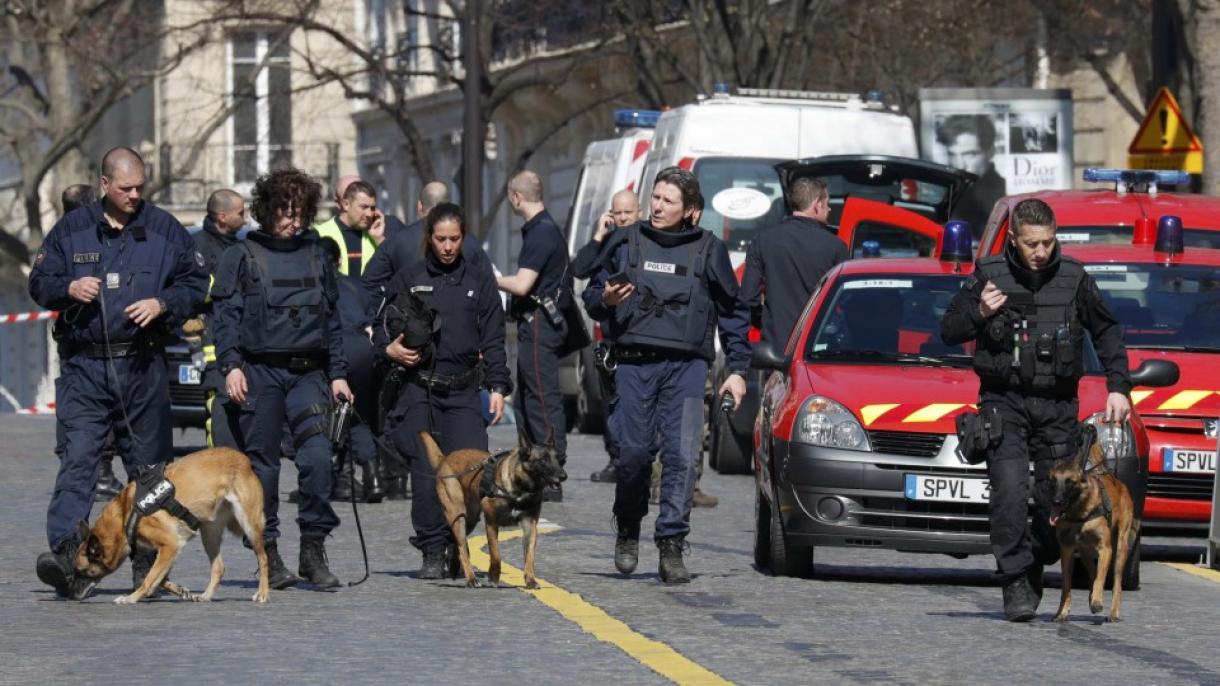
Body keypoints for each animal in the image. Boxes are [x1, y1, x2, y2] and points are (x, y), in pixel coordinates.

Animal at [73, 446, 272, 600]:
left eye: (83, 572)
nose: (71, 595)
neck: (124, 515)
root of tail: (243, 458)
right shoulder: (166, 550)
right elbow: (159, 578)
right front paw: (178, 590)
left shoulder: (170, 545)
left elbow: (149, 578)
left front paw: (132, 597)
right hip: (209, 534)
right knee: (218, 568)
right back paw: (206, 596)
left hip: (249, 526)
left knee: (263, 558)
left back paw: (263, 593)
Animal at [419, 429, 566, 585]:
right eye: (543, 459)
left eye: (559, 459)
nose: (564, 476)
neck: (520, 488)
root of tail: (445, 459)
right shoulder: (491, 523)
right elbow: (496, 554)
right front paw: (494, 576)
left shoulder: (530, 526)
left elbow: (530, 556)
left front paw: (530, 579)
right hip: (458, 516)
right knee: (462, 547)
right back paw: (471, 578)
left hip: (470, 519)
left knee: (456, 543)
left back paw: (454, 565)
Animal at [1044, 424, 1137, 622]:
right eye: (1053, 481)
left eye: (1069, 482)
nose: (1056, 502)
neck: (1080, 514)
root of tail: (1113, 478)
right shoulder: (1067, 551)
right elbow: (1066, 585)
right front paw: (1062, 611)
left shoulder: (1106, 549)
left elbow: (1101, 579)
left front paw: (1097, 602)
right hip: (1085, 553)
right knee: (1092, 572)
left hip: (1120, 549)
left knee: (1116, 582)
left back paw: (1112, 611)